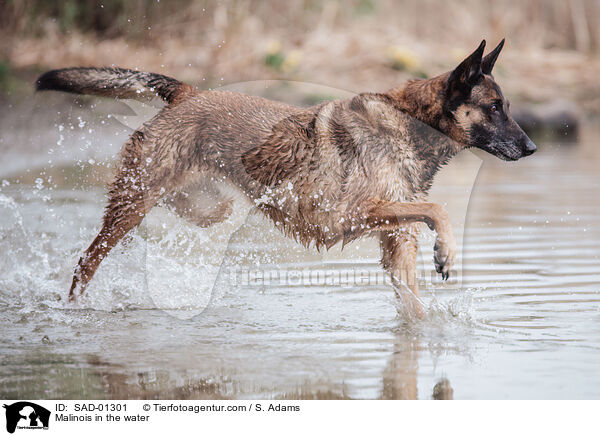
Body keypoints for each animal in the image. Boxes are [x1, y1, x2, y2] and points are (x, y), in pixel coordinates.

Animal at [36, 40, 536, 314]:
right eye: (494, 108)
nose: (532, 149)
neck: (410, 124)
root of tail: (187, 94)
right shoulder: (354, 213)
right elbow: (439, 208)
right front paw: (447, 253)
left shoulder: (396, 242)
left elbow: (414, 307)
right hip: (131, 204)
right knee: (86, 261)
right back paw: (75, 308)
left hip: (205, 205)